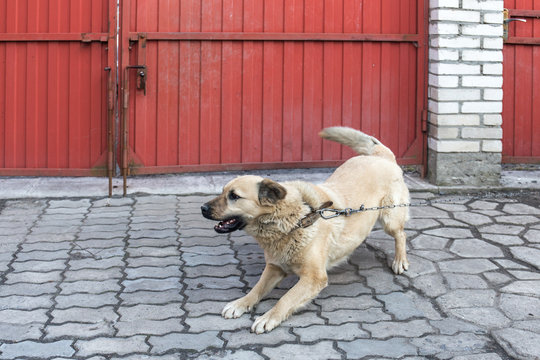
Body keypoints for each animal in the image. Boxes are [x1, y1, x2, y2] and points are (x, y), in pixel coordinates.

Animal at [199, 127, 410, 334]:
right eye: (223, 192)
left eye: (234, 196)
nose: (202, 208)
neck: (294, 221)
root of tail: (380, 155)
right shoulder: (274, 267)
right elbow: (256, 289)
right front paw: (240, 303)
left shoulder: (313, 278)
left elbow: (285, 298)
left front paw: (268, 317)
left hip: (390, 219)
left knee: (401, 234)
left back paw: (400, 261)